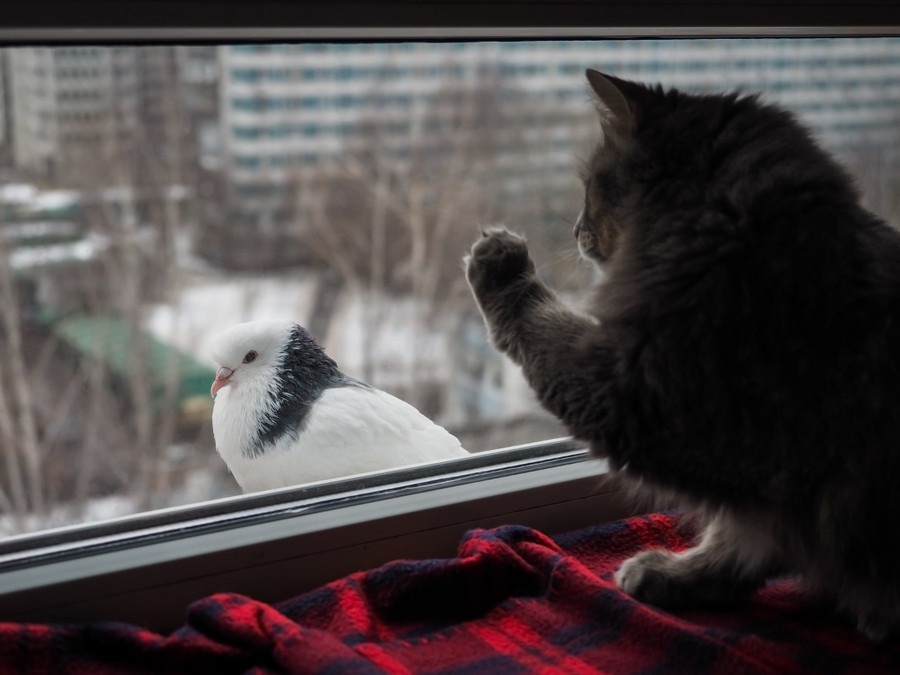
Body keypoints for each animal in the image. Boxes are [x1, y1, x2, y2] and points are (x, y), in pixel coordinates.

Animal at [464, 71, 900, 640]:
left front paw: (502, 264)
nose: (575, 230)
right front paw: (681, 576)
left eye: (592, 186)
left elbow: (541, 325)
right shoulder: (771, 495)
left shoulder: (637, 393)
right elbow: (738, 541)